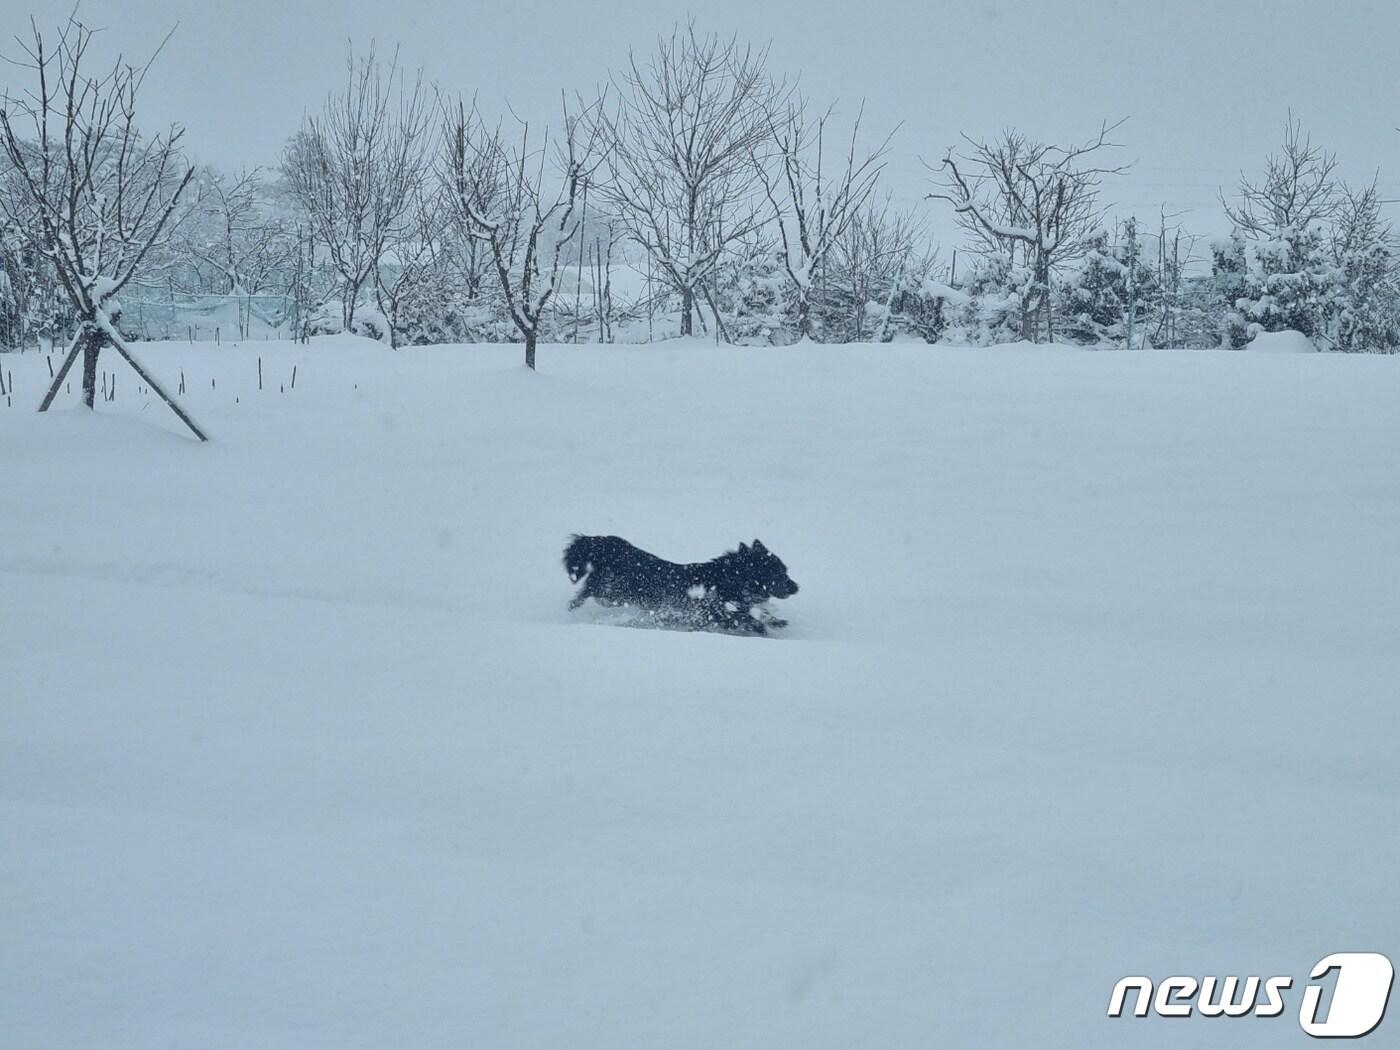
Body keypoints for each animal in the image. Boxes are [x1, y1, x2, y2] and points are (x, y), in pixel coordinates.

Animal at [560, 534, 800, 632]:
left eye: (785, 570)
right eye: (778, 573)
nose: (797, 587)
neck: (728, 579)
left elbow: (756, 615)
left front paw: (774, 622)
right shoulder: (712, 612)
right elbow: (744, 618)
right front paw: (762, 625)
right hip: (613, 595)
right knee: (590, 586)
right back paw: (574, 604)